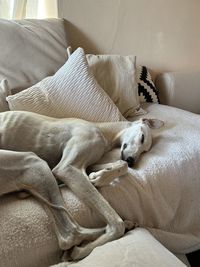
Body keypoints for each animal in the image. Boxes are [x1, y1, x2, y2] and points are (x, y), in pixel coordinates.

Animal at [0, 110, 162, 260]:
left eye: (145, 151)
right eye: (142, 137)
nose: (132, 161)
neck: (103, 131)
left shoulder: (85, 166)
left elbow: (121, 165)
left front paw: (99, 176)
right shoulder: (68, 168)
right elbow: (116, 225)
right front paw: (84, 250)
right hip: (34, 163)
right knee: (69, 236)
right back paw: (79, 250)